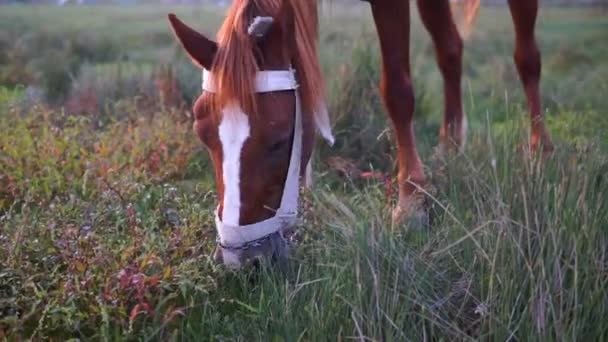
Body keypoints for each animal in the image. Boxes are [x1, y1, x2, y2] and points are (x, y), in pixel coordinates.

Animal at [169, 0, 552, 268]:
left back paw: (540, 150)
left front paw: (411, 202)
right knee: (450, 48)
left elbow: (397, 89)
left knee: (527, 56)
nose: (243, 259)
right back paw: (451, 146)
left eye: (278, 139)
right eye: (202, 134)